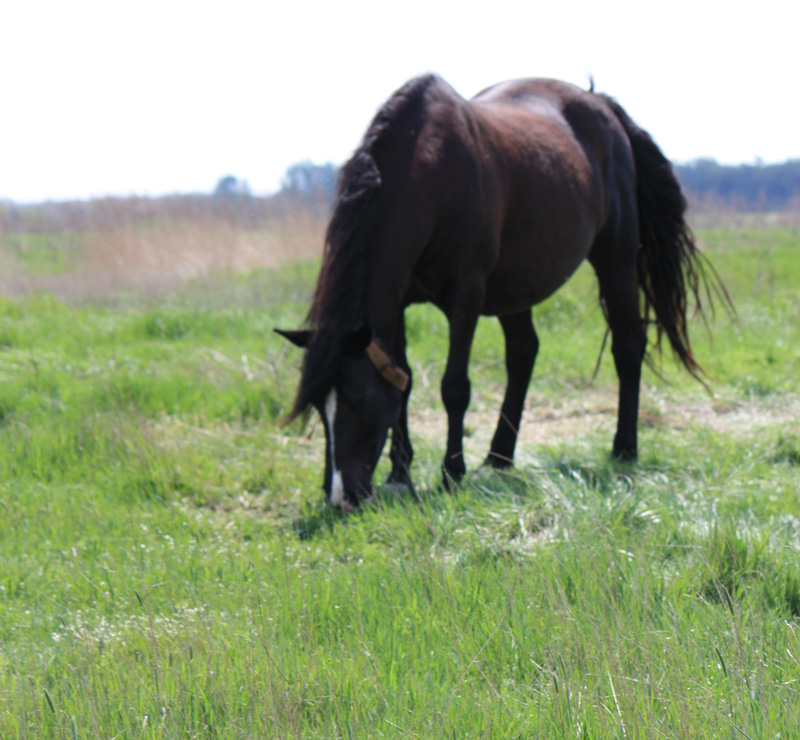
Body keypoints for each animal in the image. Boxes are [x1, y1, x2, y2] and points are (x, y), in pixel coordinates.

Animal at [277, 74, 722, 511]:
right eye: (317, 406)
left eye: (356, 399)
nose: (340, 497)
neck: (432, 174)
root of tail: (601, 104)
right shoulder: (397, 304)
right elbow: (402, 381)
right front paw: (400, 475)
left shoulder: (466, 296)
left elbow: (454, 386)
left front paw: (451, 473)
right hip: (516, 284)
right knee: (524, 353)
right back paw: (499, 456)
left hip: (617, 258)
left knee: (627, 345)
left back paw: (624, 449)